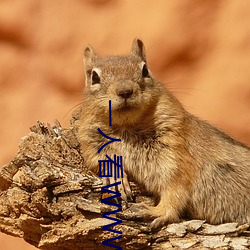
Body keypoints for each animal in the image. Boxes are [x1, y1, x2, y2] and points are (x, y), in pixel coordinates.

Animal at [77, 38, 249, 229]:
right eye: (94, 77)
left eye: (145, 70)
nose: (125, 91)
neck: (127, 128)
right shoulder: (90, 141)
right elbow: (97, 158)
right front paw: (115, 175)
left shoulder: (175, 153)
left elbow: (175, 189)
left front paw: (156, 211)